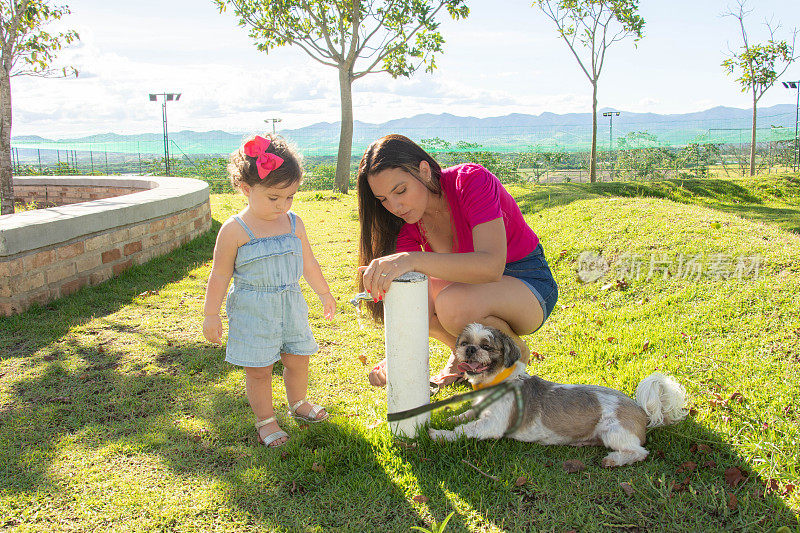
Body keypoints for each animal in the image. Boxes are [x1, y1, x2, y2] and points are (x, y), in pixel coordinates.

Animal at [432, 320, 688, 466]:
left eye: (486, 346)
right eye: (464, 343)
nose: (470, 349)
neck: (496, 381)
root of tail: (641, 409)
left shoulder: (491, 424)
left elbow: (465, 430)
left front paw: (439, 434)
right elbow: (465, 415)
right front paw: (451, 417)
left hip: (614, 431)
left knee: (639, 452)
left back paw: (615, 459)